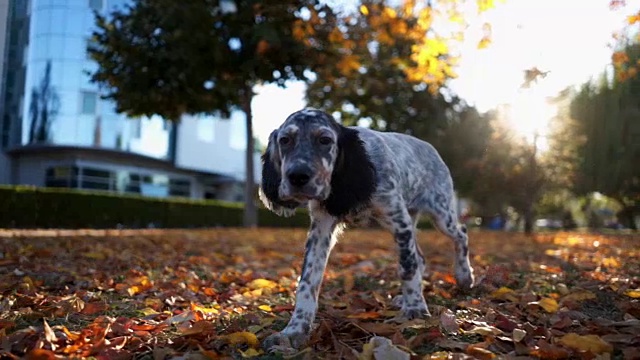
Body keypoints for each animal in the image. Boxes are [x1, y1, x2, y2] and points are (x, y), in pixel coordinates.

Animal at [258, 108, 472, 350]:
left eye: (325, 140)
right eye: (285, 140)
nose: (297, 176)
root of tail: (429, 147)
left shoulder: (398, 219)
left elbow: (407, 268)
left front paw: (416, 309)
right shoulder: (321, 228)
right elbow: (307, 281)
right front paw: (294, 330)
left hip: (440, 213)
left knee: (460, 234)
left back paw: (464, 276)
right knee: (420, 256)